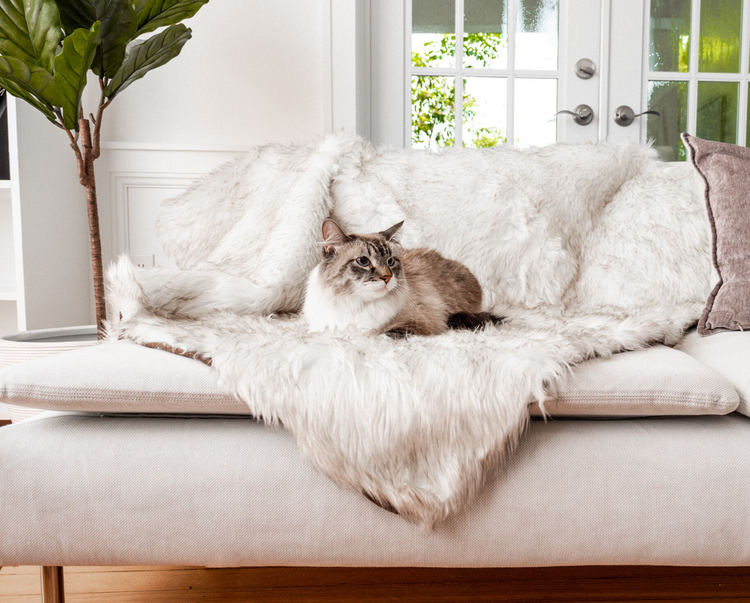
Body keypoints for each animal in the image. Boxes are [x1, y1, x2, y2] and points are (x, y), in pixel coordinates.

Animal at [302, 221, 506, 338]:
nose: (387, 277)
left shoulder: (418, 324)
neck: (353, 302)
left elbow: (377, 334)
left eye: (390, 261)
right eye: (363, 261)